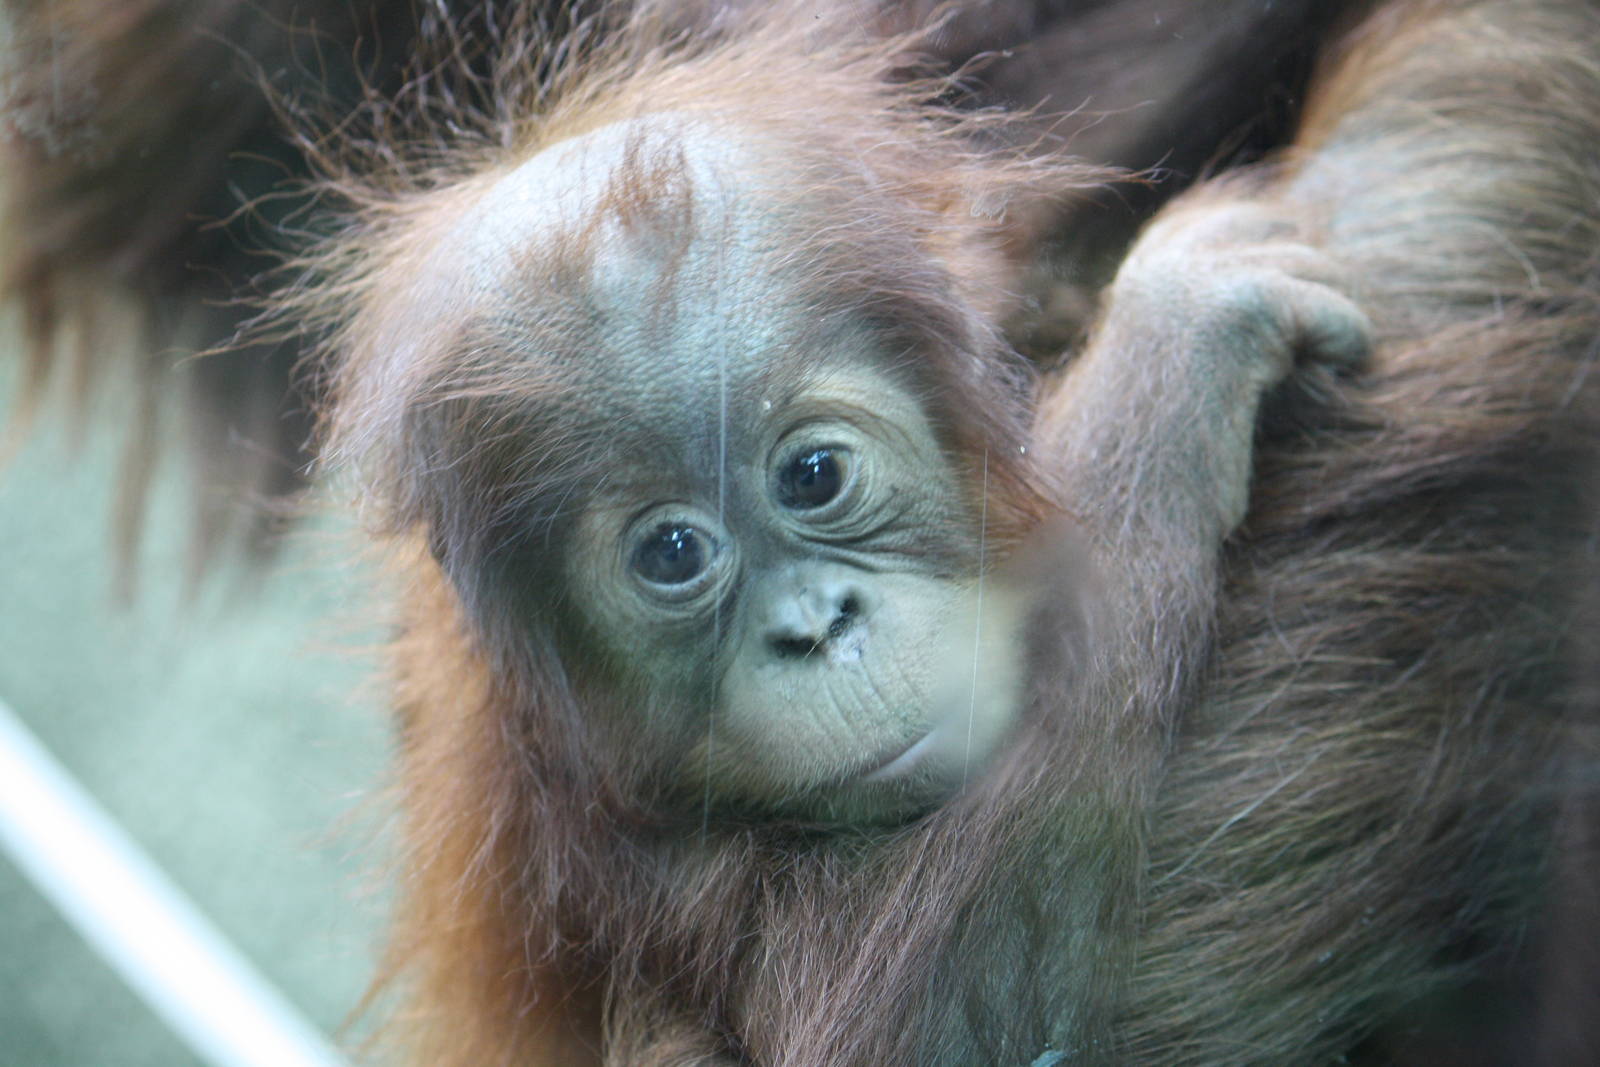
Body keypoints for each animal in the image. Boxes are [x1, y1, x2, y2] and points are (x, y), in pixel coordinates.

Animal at [256, 1, 1595, 1064]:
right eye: (672, 554)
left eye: (814, 474)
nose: (813, 625)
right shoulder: (599, 839)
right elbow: (939, 1023)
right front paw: (1178, 335)